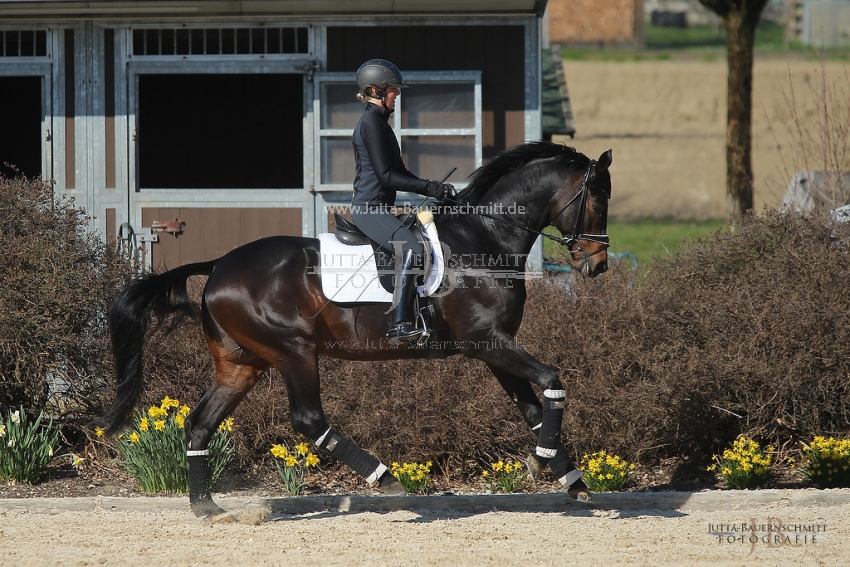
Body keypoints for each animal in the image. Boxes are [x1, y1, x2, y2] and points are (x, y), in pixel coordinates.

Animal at [99, 142, 608, 520]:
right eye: (598, 201)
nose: (599, 264)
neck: (484, 239)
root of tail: (219, 265)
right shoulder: (487, 341)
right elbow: (552, 381)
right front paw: (541, 461)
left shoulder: (493, 347)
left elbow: (534, 408)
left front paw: (571, 479)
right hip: (294, 351)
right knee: (308, 420)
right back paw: (389, 480)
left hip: (242, 363)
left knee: (201, 422)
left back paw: (207, 507)